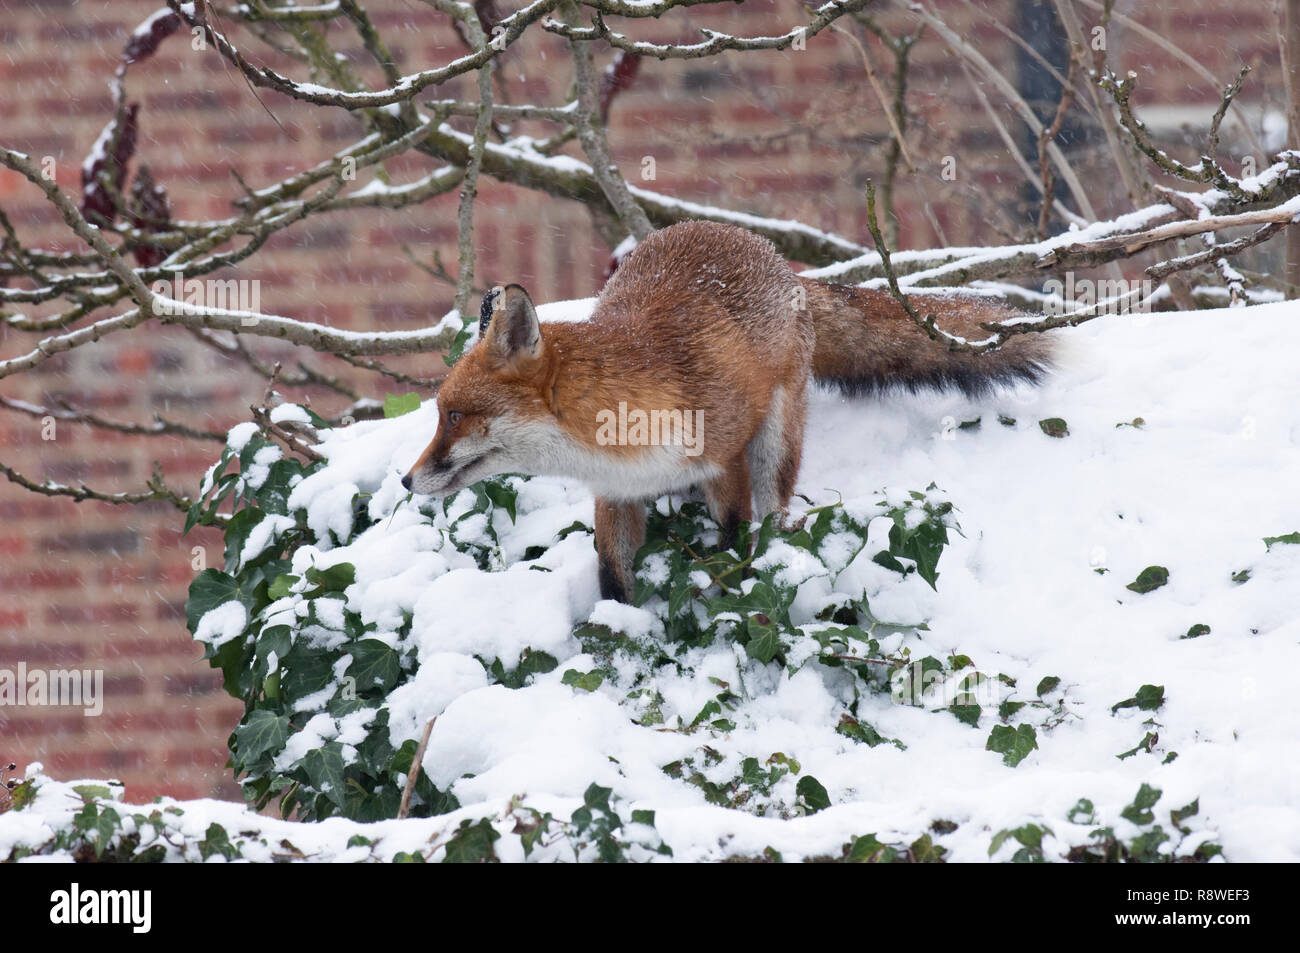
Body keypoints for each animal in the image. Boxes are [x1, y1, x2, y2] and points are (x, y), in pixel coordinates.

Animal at [405, 219, 1055, 598]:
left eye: (454, 416)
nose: (408, 481)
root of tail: (771, 253)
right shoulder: (615, 493)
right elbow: (612, 576)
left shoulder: (725, 465)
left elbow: (734, 548)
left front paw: (732, 601)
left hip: (775, 444)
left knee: (774, 514)